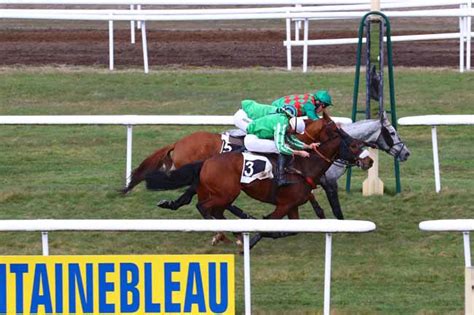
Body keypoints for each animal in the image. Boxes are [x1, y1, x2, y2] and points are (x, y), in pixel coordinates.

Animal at [144, 113, 370, 249]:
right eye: (353, 145)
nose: (369, 160)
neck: (303, 167)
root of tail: (207, 161)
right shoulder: (284, 205)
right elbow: (269, 223)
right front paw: (251, 241)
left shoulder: (292, 205)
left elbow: (292, 228)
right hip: (227, 193)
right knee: (204, 207)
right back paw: (226, 232)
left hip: (222, 194)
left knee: (213, 209)